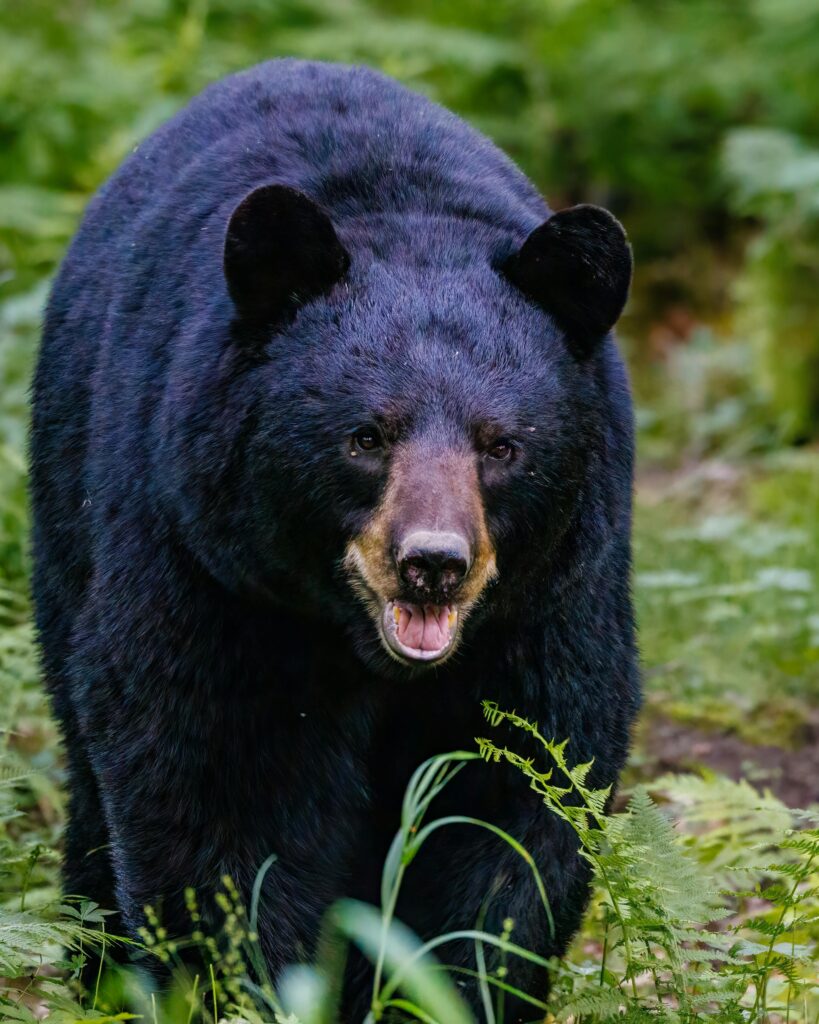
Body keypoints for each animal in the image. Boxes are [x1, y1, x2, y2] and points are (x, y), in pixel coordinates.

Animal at [30, 59, 639, 1019]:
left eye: (501, 445)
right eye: (366, 437)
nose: (432, 564)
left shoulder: (549, 601)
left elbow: (516, 800)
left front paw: (444, 987)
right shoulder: (211, 570)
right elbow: (219, 790)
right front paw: (249, 985)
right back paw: (101, 966)